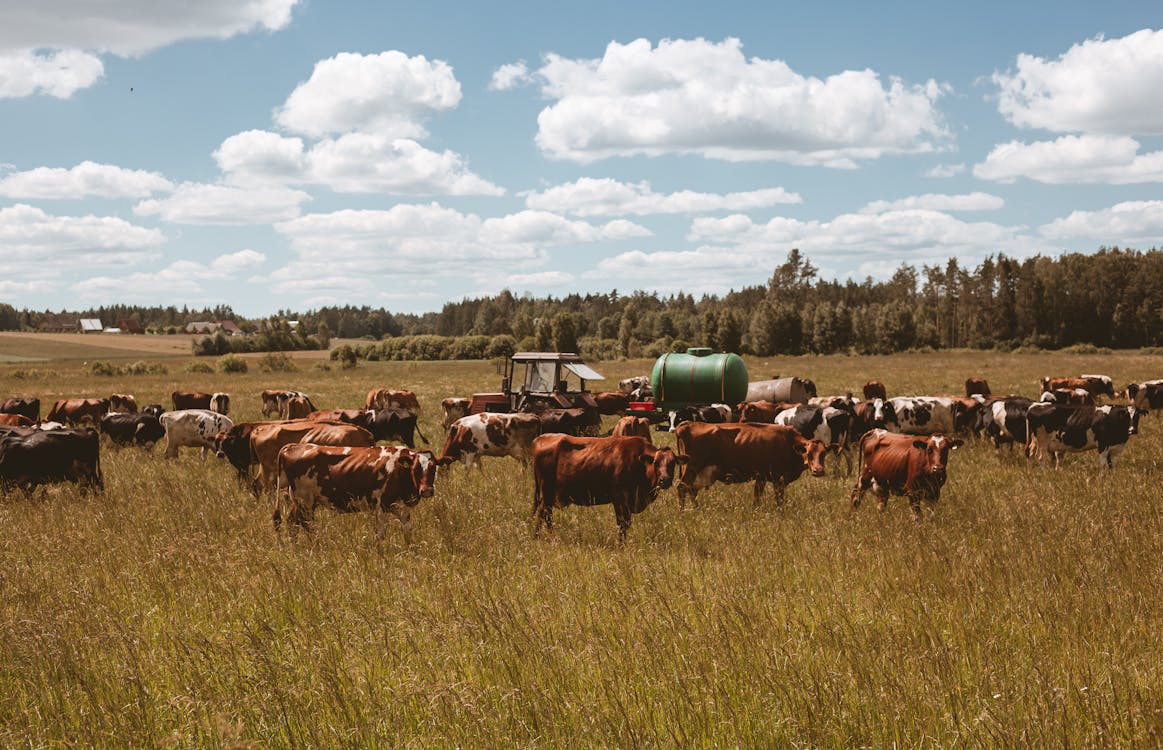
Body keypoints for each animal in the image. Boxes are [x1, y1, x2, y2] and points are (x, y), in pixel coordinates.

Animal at [532, 434, 683, 541]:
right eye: (656, 462)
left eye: (673, 463)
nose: (665, 480)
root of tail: (541, 437)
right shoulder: (620, 499)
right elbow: (622, 524)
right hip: (547, 492)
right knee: (543, 514)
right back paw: (541, 537)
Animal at [674, 420, 837, 509]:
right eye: (809, 453)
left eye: (823, 453)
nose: (818, 470)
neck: (788, 442)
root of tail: (686, 424)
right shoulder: (777, 478)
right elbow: (778, 499)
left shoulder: (761, 478)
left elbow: (757, 497)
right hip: (692, 467)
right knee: (682, 487)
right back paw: (683, 511)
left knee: (691, 489)